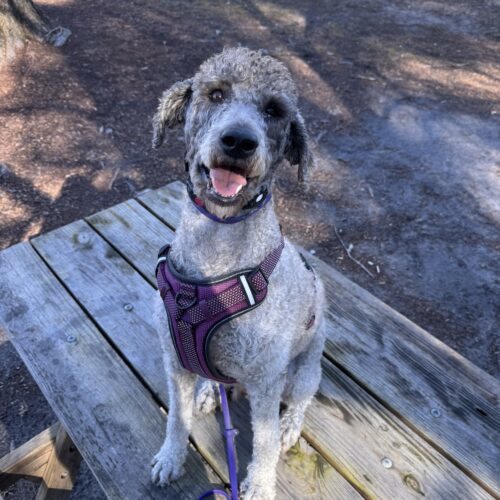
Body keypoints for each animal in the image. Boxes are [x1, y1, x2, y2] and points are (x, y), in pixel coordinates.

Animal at [150, 47, 326, 500]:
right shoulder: (175, 362)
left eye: (274, 110)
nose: (239, 141)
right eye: (215, 94)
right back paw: (211, 391)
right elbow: (175, 417)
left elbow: (264, 444)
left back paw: (289, 425)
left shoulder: (265, 381)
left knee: (300, 403)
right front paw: (171, 457)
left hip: (301, 374)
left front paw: (260, 487)